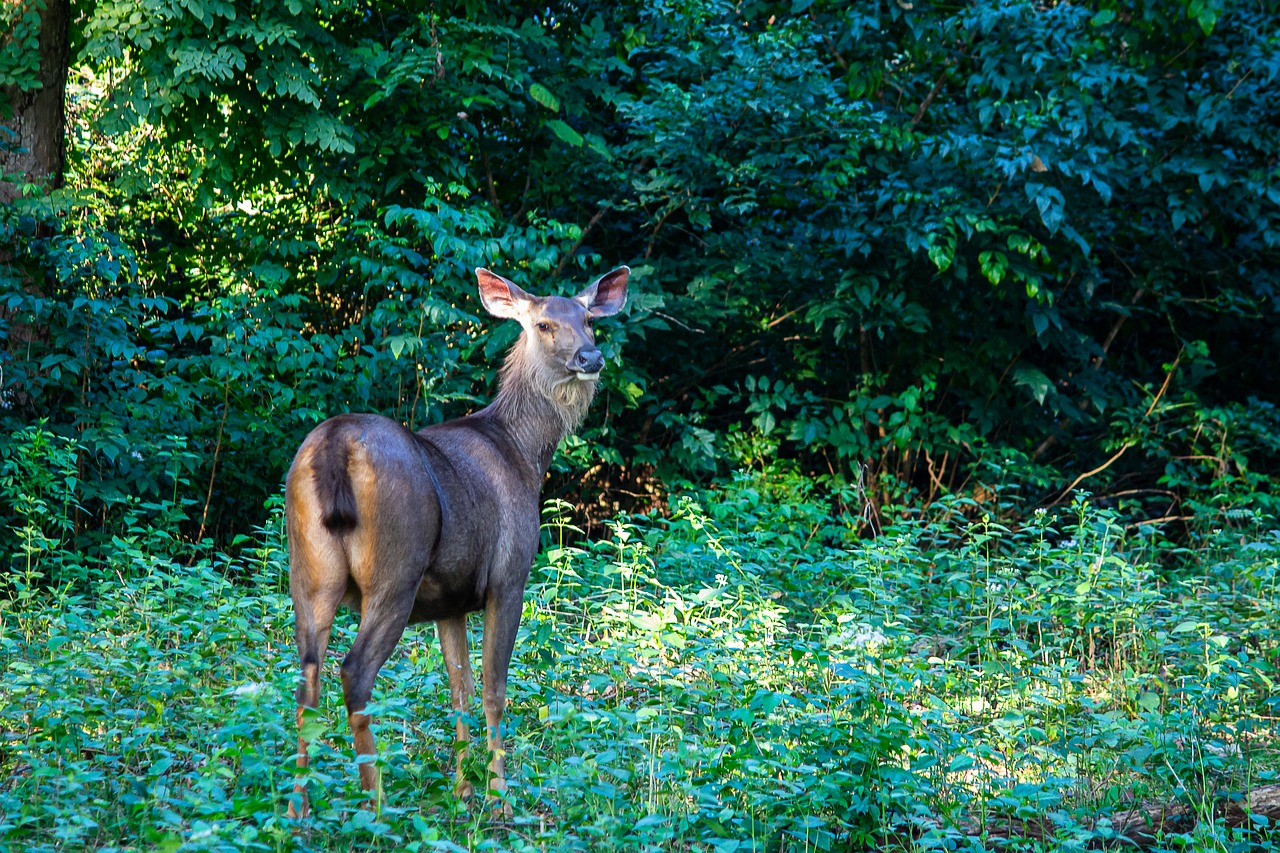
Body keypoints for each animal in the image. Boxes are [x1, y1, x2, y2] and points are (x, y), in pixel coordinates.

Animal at [283, 265, 629, 819]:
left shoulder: (449, 599)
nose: (590, 358)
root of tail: (336, 444)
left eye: (589, 320)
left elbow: (458, 688)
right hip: (395, 572)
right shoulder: (508, 578)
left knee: (306, 678)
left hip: (308, 572)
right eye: (544, 324)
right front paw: (500, 796)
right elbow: (493, 689)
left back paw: (299, 809)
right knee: (354, 672)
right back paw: (376, 804)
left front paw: (464, 791)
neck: (525, 454)